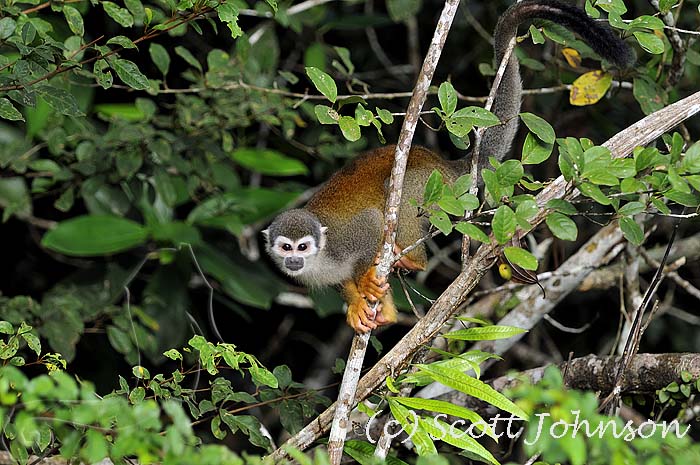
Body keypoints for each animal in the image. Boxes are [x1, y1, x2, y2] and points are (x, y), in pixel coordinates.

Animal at [264, 0, 632, 333]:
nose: (294, 260)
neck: (320, 258)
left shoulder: (345, 239)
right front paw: (360, 305)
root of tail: (443, 162)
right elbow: (344, 285)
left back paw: (412, 258)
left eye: (302, 246)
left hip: (432, 182)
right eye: (286, 247)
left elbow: (369, 225)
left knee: (396, 199)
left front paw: (367, 281)